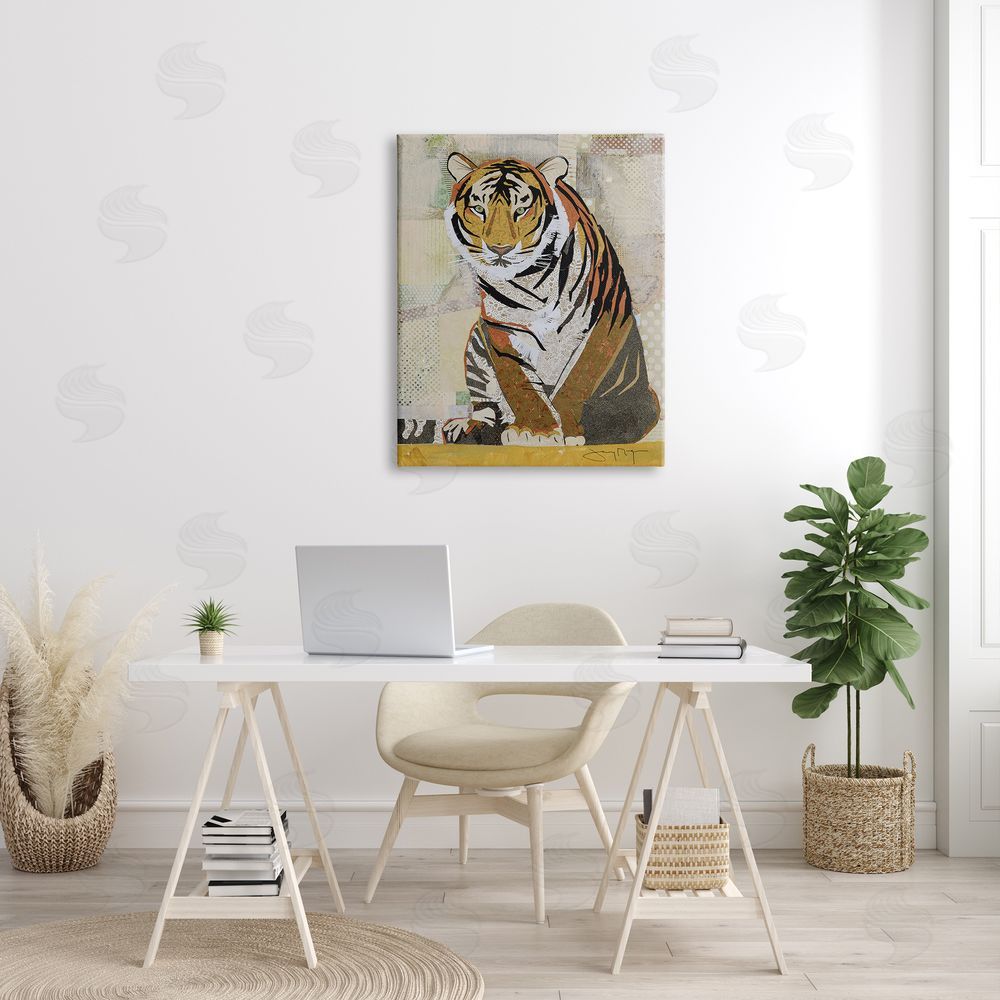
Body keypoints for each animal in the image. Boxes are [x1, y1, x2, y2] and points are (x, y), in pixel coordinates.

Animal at [442, 152, 660, 447]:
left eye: (521, 209)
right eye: (478, 209)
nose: (500, 249)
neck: (530, 282)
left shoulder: (602, 319)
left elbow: (577, 378)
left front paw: (567, 431)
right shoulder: (500, 328)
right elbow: (520, 383)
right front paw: (535, 431)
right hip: (476, 346)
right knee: (487, 406)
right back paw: (469, 427)